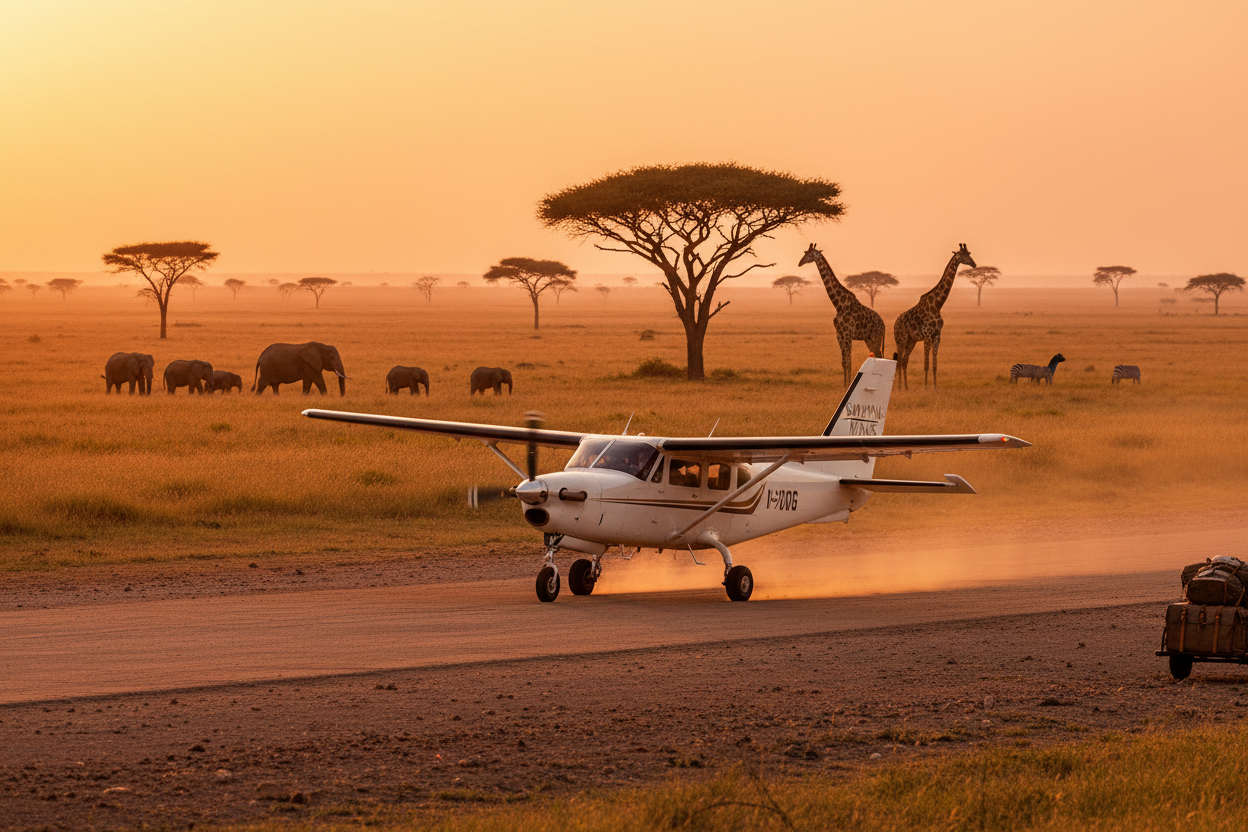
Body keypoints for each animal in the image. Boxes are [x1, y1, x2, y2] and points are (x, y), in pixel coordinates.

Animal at [798, 243, 886, 386]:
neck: (839, 304)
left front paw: (848, 384)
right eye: (805, 252)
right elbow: (844, 362)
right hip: (868, 339)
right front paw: (844, 384)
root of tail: (884, 325)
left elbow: (849, 361)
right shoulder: (839, 334)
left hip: (875, 336)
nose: (800, 263)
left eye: (810, 254)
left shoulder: (847, 333)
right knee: (877, 356)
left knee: (880, 356)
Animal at [892, 243, 976, 389]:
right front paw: (926, 388)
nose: (974, 264)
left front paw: (935, 388)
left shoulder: (937, 335)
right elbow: (926, 364)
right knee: (899, 360)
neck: (937, 305)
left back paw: (906, 388)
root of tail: (895, 323)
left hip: (911, 340)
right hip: (901, 338)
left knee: (904, 360)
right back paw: (899, 388)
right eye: (964, 255)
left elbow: (935, 364)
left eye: (970, 253)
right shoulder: (927, 335)